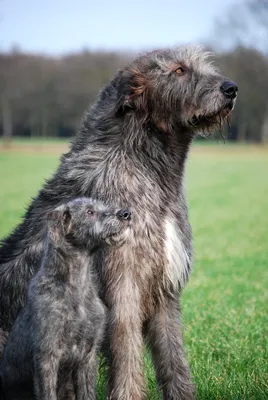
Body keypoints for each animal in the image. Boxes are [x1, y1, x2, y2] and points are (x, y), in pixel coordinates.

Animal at [0, 198, 131, 400]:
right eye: (89, 212)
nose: (126, 214)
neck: (76, 287)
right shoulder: (48, 355)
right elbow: (48, 393)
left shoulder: (88, 354)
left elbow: (87, 392)